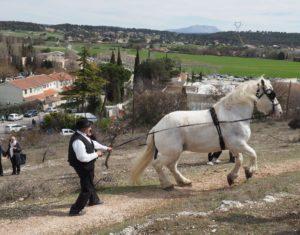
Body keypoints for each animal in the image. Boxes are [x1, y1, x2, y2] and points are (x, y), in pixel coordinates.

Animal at [131, 78, 282, 189]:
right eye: (271, 93)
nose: (279, 111)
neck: (233, 114)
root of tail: (156, 127)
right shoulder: (239, 144)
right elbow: (253, 154)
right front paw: (250, 172)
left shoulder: (234, 146)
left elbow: (239, 160)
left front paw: (232, 177)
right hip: (171, 152)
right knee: (158, 165)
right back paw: (167, 184)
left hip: (176, 152)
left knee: (171, 166)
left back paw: (183, 181)